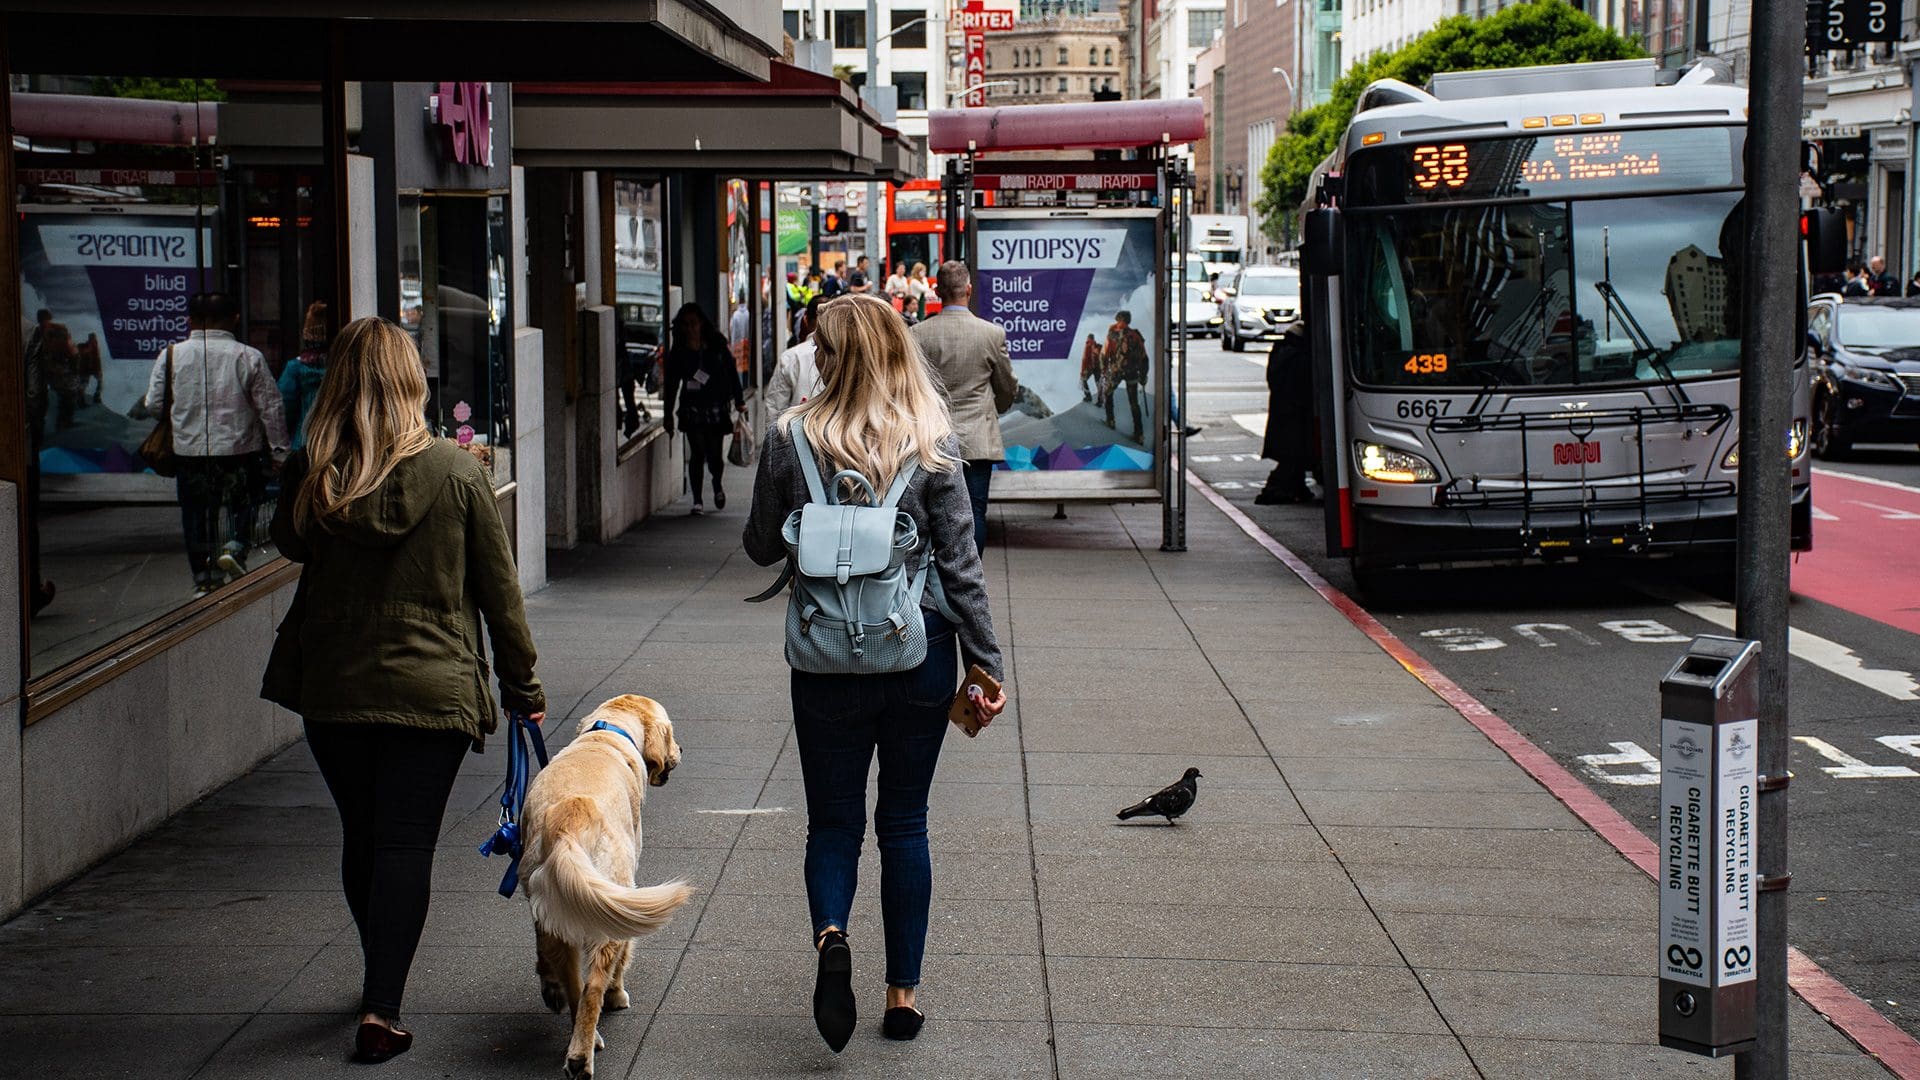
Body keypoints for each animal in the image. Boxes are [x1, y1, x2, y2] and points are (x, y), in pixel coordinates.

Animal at [522, 691, 695, 1068]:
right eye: (672, 732)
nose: (681, 749)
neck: (606, 734)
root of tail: (569, 823)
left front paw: (549, 987)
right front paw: (617, 994)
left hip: (556, 905)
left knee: (572, 981)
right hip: (610, 903)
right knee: (593, 987)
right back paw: (581, 1056)